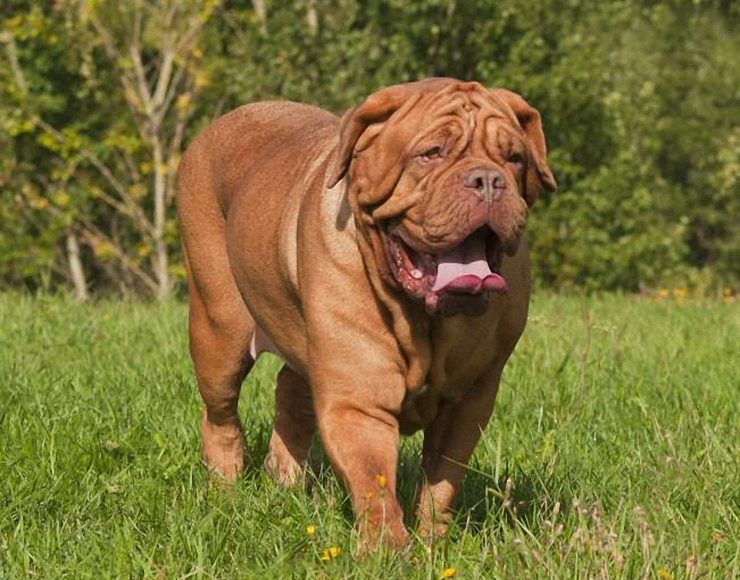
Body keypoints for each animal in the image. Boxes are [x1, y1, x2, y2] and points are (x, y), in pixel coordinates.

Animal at [175, 78, 556, 548]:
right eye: (431, 153)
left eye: (515, 157)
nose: (488, 180)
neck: (424, 320)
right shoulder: (358, 398)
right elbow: (373, 479)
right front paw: (387, 549)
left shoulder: (469, 401)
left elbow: (443, 481)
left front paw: (431, 542)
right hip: (219, 331)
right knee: (220, 414)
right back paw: (225, 486)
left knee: (291, 394)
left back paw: (285, 478)